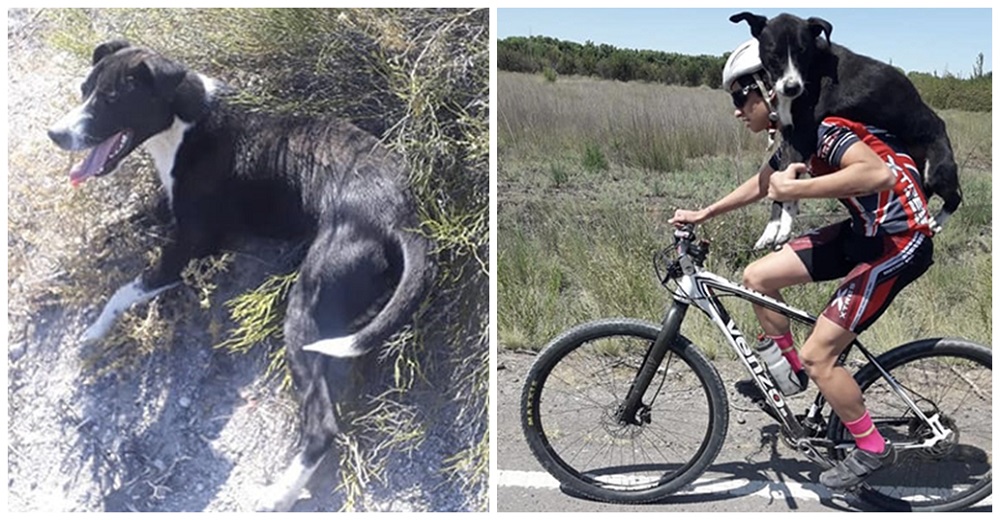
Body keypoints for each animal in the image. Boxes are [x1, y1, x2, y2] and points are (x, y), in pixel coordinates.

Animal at [47, 40, 434, 512]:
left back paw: (279, 496)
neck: (188, 123)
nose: (55, 134)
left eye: (111, 99)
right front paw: (65, 264)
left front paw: (93, 333)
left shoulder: (191, 248)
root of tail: (402, 218)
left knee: (322, 423)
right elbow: (118, 222)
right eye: (85, 90)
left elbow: (124, 291)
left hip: (307, 303)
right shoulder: (170, 210)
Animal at [732, 11, 964, 249]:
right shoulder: (789, 137)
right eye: (773, 53)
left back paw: (936, 221)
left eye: (802, 51)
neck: (813, 67)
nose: (792, 87)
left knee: (954, 198)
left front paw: (784, 228)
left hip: (937, 170)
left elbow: (787, 185)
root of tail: (940, 124)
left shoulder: (803, 136)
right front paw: (771, 230)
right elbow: (782, 183)